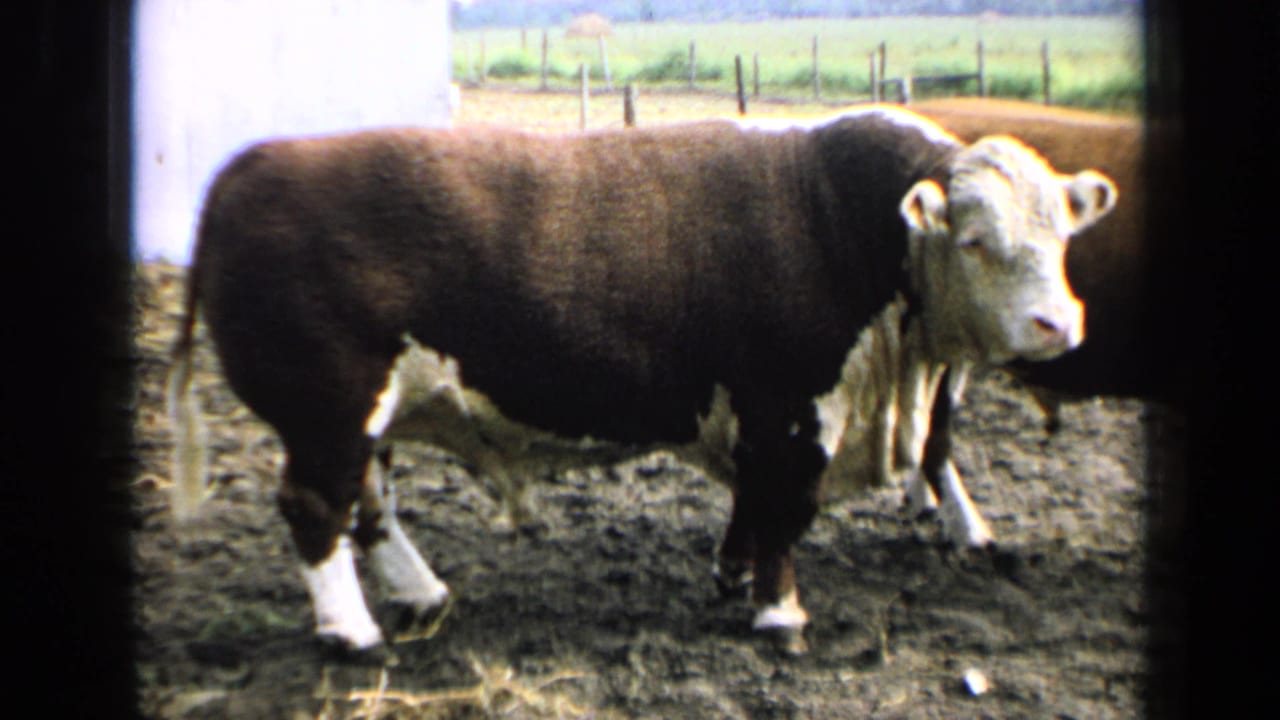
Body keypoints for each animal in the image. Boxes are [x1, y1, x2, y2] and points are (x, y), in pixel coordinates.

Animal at [166, 105, 1117, 659]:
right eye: (976, 241)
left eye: (1062, 235)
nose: (1060, 323)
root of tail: (253, 163)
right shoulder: (792, 404)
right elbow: (784, 511)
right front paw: (779, 612)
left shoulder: (756, 410)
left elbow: (751, 504)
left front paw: (734, 575)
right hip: (327, 409)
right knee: (317, 509)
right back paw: (353, 631)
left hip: (367, 415)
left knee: (371, 505)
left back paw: (421, 593)